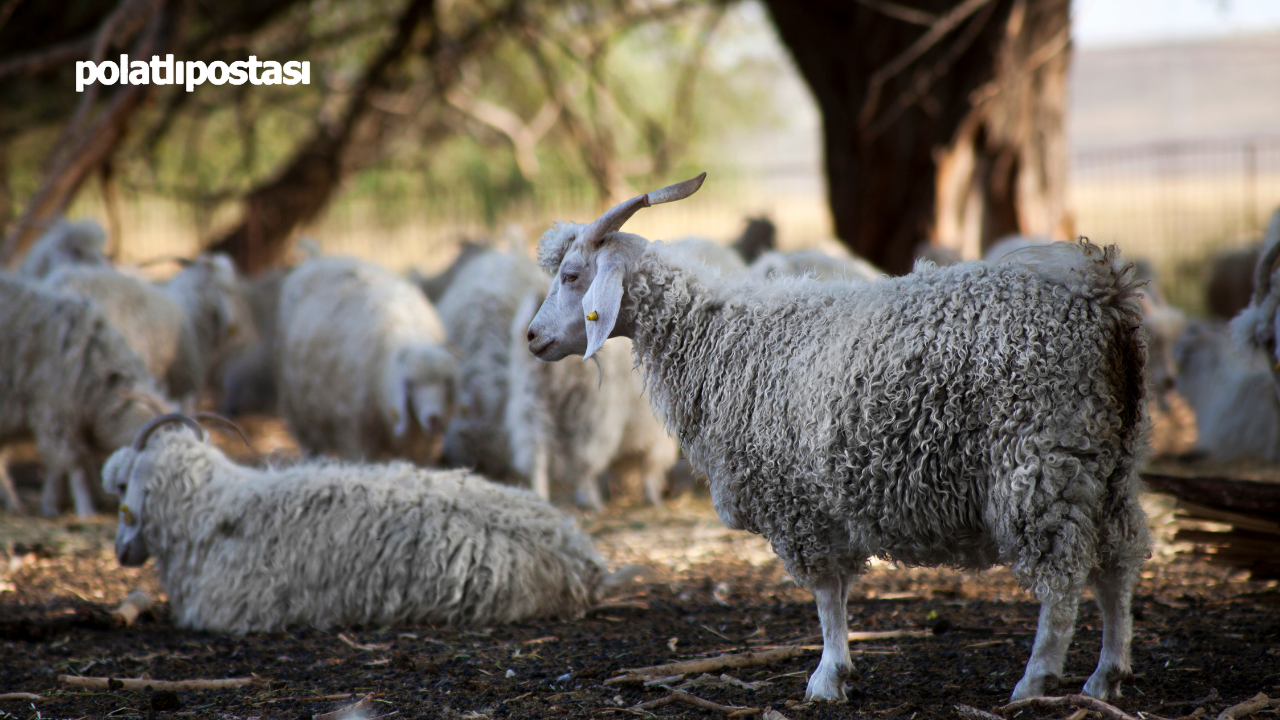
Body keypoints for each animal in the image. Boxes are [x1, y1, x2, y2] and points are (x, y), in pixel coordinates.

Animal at [279, 254, 455, 461]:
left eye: (446, 383)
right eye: (410, 385)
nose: (434, 419)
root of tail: (320, 258)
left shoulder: (420, 444)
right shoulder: (355, 431)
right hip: (302, 412)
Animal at [522, 174, 1152, 702]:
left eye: (572, 276)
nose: (531, 337)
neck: (721, 340)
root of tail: (1102, 297)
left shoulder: (796, 500)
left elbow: (827, 594)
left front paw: (827, 677)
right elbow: (838, 593)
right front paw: (837, 672)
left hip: (1040, 458)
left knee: (1064, 572)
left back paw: (1037, 680)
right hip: (1106, 461)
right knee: (1117, 565)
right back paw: (1106, 676)